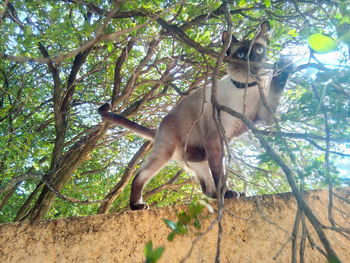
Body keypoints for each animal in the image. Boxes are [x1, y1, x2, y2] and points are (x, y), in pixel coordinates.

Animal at [98, 20, 292, 211]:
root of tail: (158, 128)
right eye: (242, 54)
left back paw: (231, 194)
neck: (245, 88)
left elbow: (277, 86)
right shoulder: (216, 137)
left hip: (199, 159)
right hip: (166, 152)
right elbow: (220, 174)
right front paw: (226, 194)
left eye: (259, 50)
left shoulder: (265, 116)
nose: (253, 63)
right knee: (140, 175)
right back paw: (137, 205)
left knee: (207, 189)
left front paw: (284, 64)